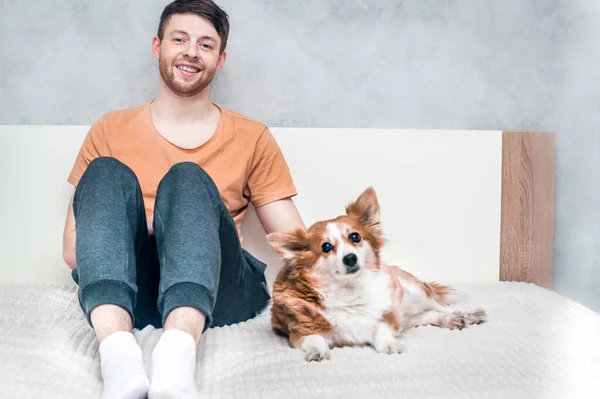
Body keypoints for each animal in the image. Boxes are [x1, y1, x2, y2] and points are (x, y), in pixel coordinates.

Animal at [268, 188, 488, 362]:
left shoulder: (390, 316)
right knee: (428, 314)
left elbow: (382, 329)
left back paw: (466, 315)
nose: (350, 258)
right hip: (411, 314)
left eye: (355, 237)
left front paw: (389, 344)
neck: (350, 292)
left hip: (414, 290)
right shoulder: (300, 334)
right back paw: (451, 320)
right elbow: (314, 339)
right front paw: (317, 352)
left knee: (439, 306)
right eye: (326, 247)